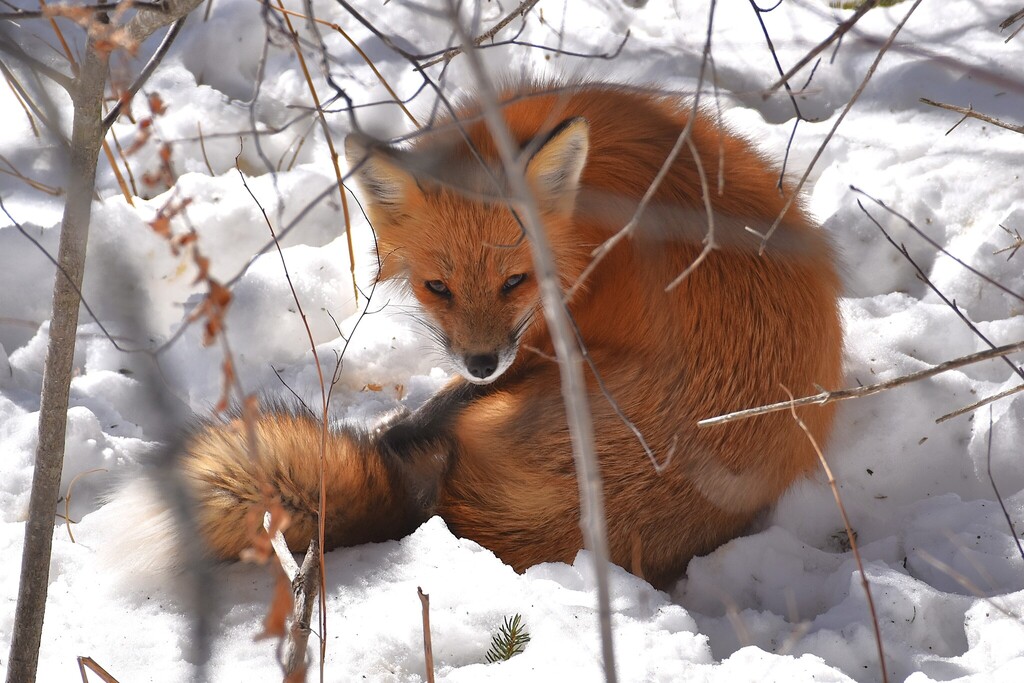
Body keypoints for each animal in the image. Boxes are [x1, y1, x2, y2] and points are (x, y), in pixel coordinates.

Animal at [168, 82, 842, 589]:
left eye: (515, 280)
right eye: (437, 287)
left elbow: (431, 407)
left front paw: (395, 422)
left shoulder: (541, 339)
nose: (481, 361)